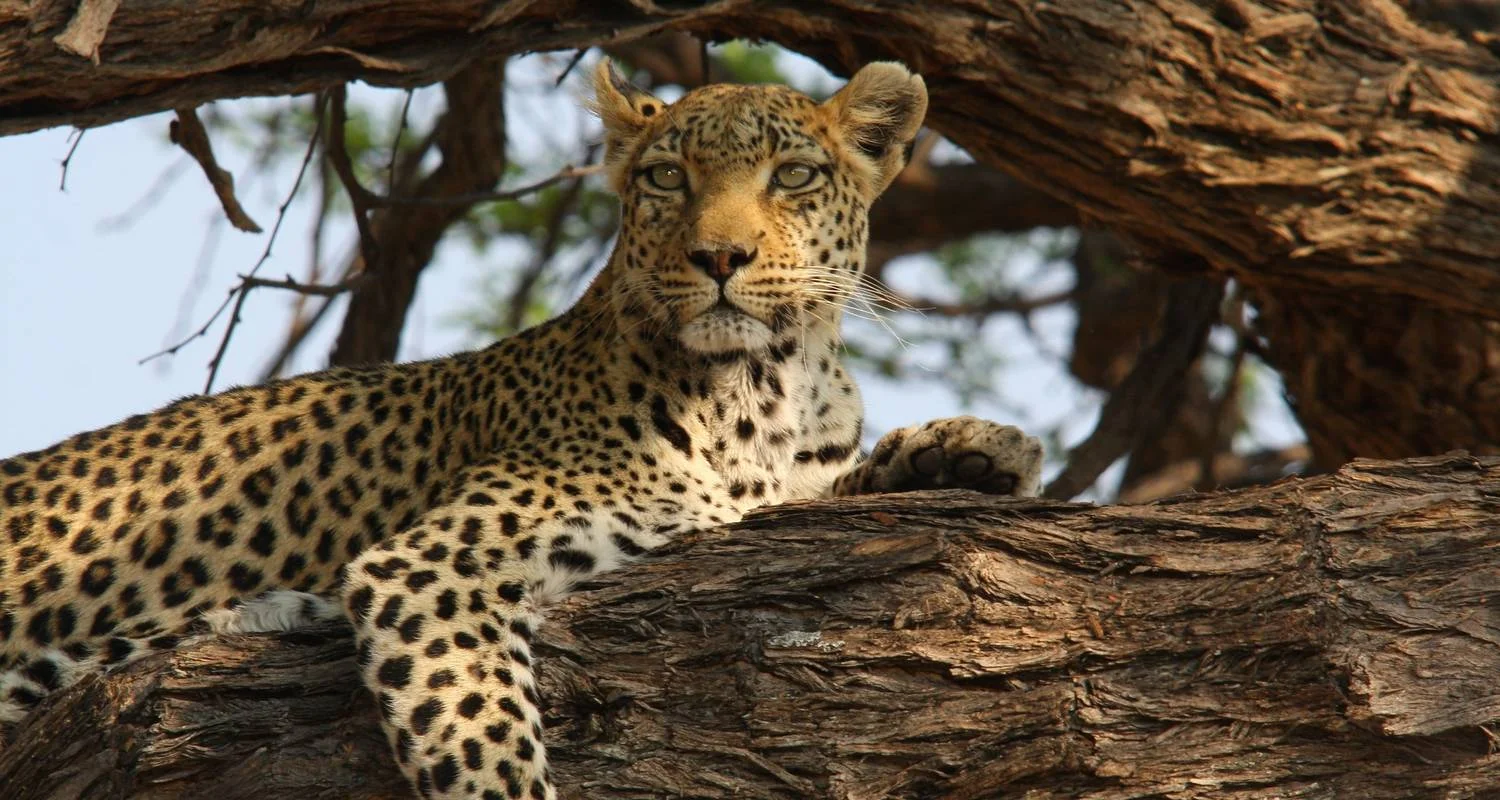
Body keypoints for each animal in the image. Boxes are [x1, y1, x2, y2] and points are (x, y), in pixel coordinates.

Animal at [0, 60, 1044, 799]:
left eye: (792, 176)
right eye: (667, 177)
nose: (720, 257)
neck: (768, 387)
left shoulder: (774, 494)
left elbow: (839, 485)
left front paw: (974, 448)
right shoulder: (430, 564)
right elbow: (479, 731)